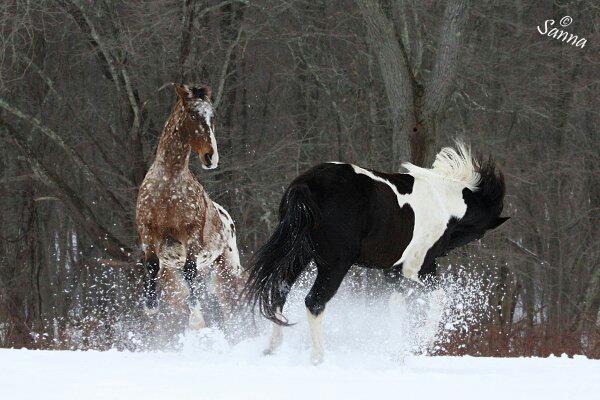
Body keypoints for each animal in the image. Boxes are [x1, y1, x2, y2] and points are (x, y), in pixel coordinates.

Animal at [137, 83, 243, 328]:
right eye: (193, 115)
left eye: (212, 117)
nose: (210, 158)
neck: (167, 186)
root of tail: (227, 218)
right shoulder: (148, 233)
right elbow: (152, 266)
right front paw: (150, 307)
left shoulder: (190, 236)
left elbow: (190, 271)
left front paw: (196, 316)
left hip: (228, 269)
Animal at [244, 142, 510, 364]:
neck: (444, 202)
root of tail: (306, 185)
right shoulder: (417, 269)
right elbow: (439, 297)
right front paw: (425, 342)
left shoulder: (392, 272)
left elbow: (396, 306)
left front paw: (397, 353)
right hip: (334, 265)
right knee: (314, 302)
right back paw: (318, 358)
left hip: (298, 255)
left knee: (279, 291)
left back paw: (271, 349)